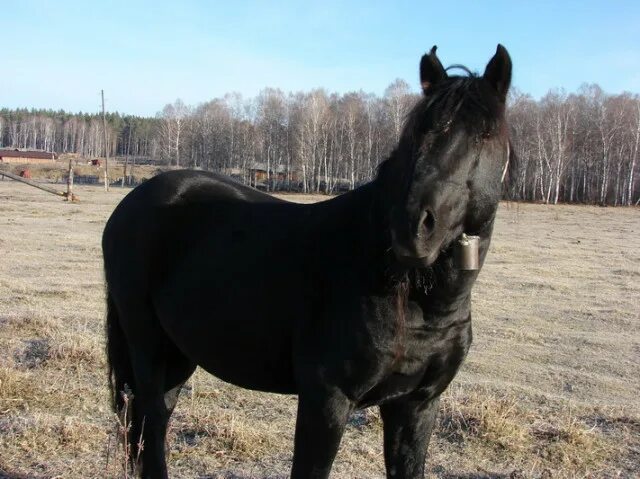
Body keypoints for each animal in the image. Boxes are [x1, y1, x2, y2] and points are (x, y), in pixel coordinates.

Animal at [106, 46, 516, 479]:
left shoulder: (416, 404)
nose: (411, 226)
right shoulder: (327, 400)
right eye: (417, 132)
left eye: (485, 134)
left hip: (179, 353)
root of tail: (133, 201)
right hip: (147, 345)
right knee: (149, 424)